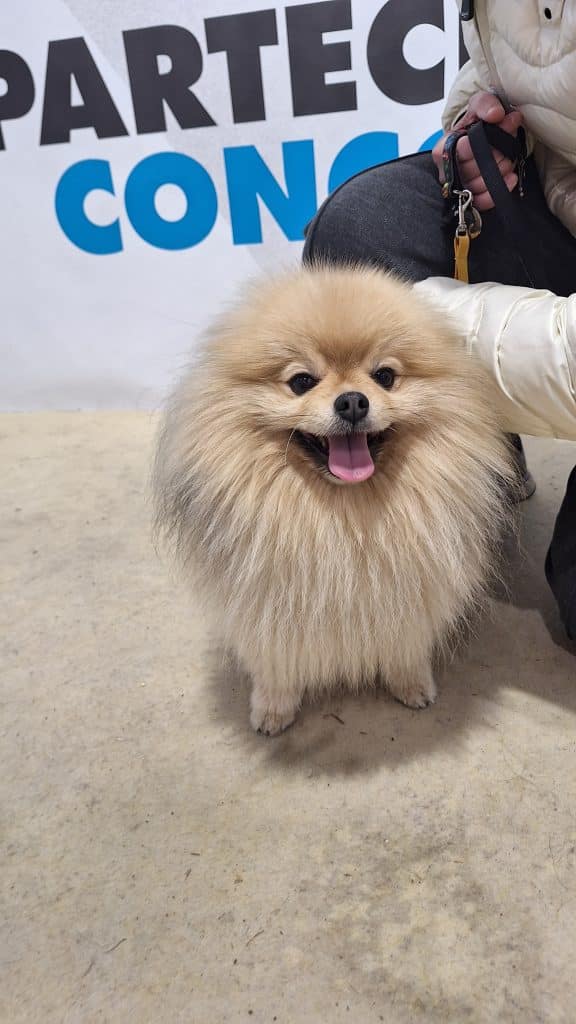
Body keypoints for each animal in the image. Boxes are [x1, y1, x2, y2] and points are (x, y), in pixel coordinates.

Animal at [154, 265, 512, 735]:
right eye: (302, 382)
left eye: (384, 376)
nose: (353, 401)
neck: (345, 519)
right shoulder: (265, 603)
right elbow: (275, 661)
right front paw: (273, 707)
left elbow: (406, 642)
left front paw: (411, 683)